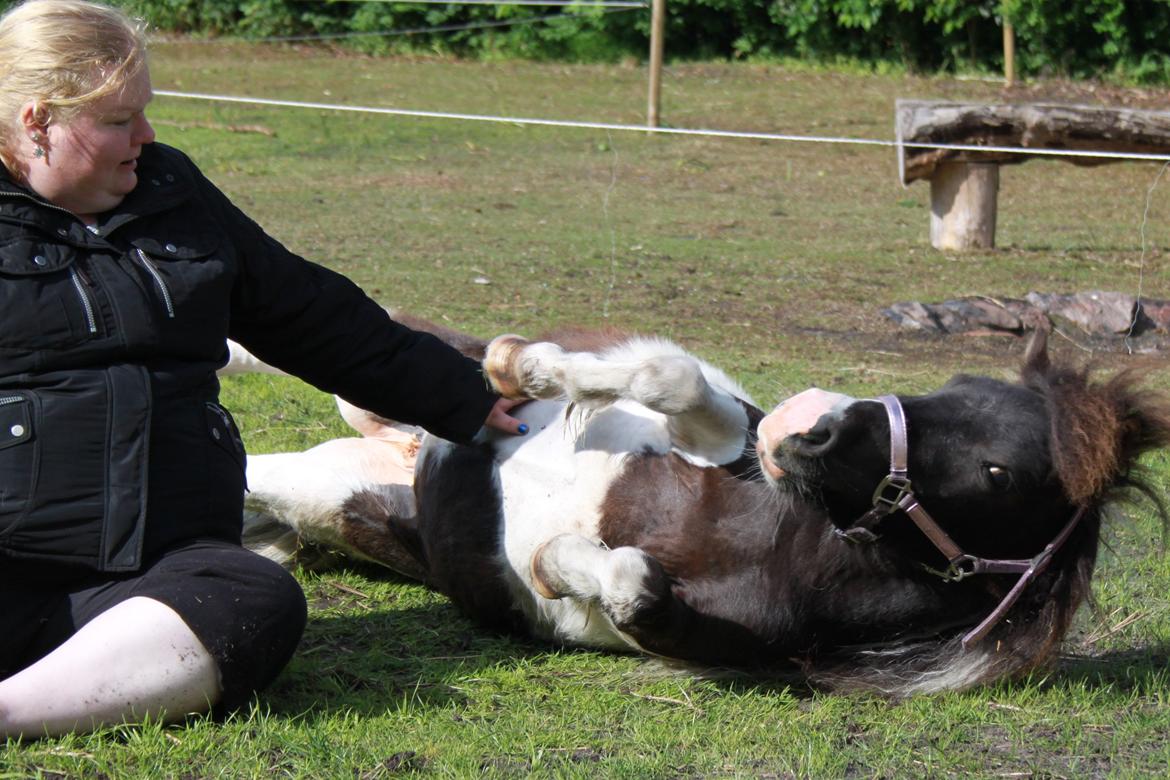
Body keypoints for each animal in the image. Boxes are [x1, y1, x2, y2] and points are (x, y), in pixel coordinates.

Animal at [223, 322, 1165, 696]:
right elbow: (672, 378)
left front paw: (554, 569)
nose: (809, 421)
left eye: (1000, 472)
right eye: (960, 382)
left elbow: (630, 580)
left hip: (322, 486)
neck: (778, 539)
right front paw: (537, 373)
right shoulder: (723, 439)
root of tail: (404, 457)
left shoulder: (672, 612)